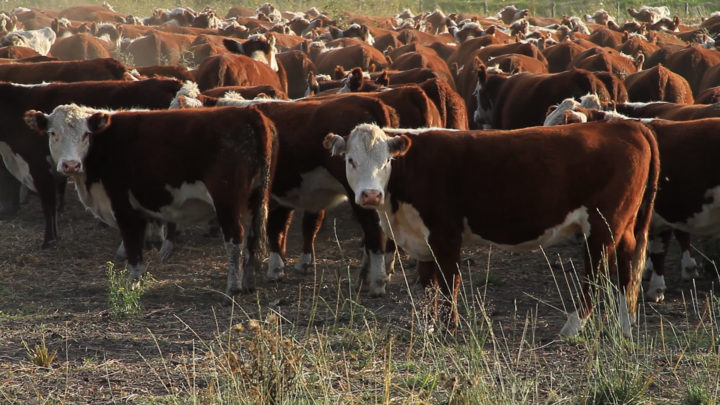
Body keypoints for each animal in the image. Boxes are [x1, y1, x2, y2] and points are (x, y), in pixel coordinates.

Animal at [0, 78, 183, 246]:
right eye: (52, 133)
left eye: (86, 134)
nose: (71, 165)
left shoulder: (39, 168)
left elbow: (48, 205)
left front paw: (49, 240)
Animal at [23, 104, 278, 296]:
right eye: (53, 133)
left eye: (86, 134)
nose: (70, 165)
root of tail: (249, 113)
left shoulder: (123, 207)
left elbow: (133, 247)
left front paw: (132, 283)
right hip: (255, 201)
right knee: (252, 239)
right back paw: (249, 283)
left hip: (227, 201)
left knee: (235, 239)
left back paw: (233, 288)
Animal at [324, 119, 660, 334]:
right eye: (351, 160)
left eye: (386, 161)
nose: (370, 195)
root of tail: (627, 125)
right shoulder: (422, 240)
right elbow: (429, 285)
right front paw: (428, 325)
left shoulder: (445, 233)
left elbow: (449, 282)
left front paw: (448, 327)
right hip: (623, 225)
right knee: (627, 264)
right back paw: (625, 324)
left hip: (603, 224)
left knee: (595, 274)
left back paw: (572, 326)